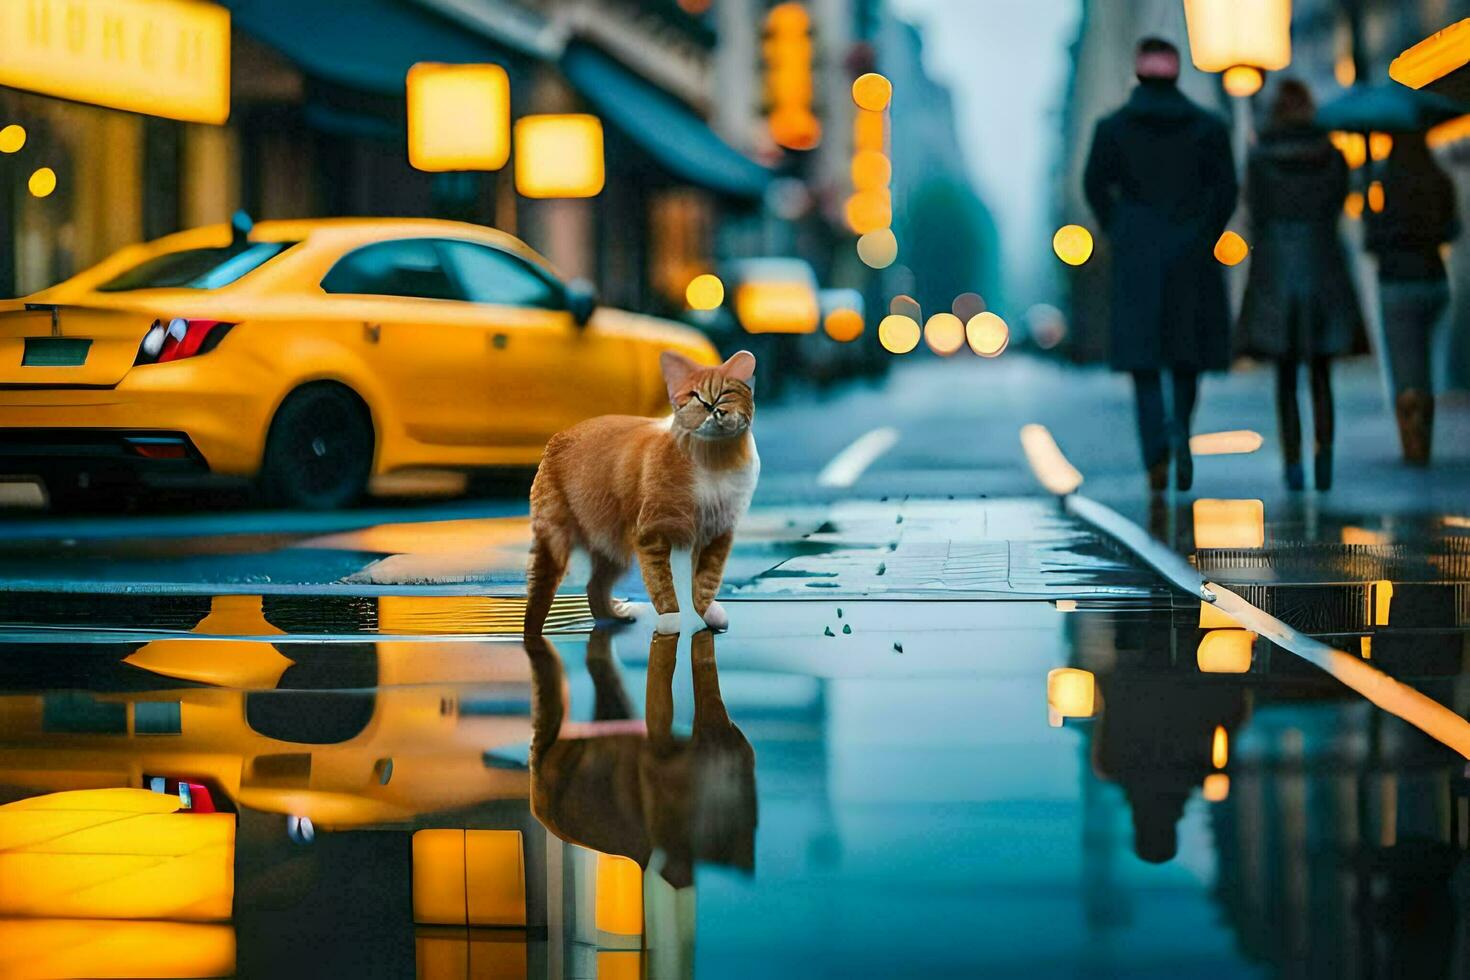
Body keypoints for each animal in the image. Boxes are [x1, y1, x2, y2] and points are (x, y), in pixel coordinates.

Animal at [523, 351, 758, 637]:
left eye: (726, 393)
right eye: (694, 395)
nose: (712, 407)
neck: (716, 461)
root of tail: (557, 437)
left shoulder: (716, 535)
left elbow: (704, 584)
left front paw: (704, 616)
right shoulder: (654, 534)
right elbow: (664, 584)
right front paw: (674, 618)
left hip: (615, 550)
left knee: (595, 587)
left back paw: (616, 617)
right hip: (556, 542)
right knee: (539, 596)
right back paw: (532, 633)